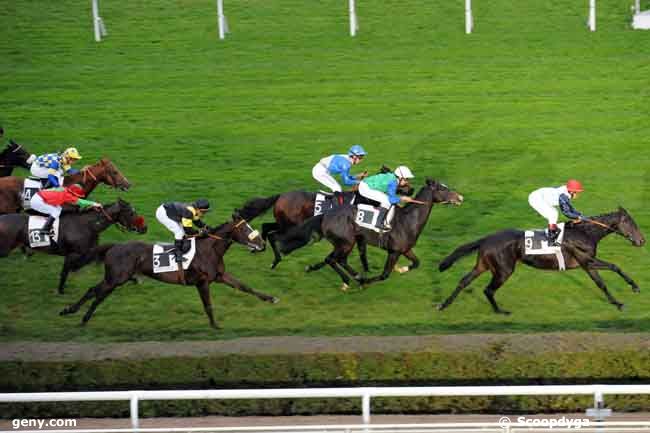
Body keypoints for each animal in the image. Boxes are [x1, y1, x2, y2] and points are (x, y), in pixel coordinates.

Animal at [0, 199, 146, 294]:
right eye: (131, 213)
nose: (144, 228)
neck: (88, 225)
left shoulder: (87, 252)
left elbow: (77, 266)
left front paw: (133, 278)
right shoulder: (73, 254)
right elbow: (67, 270)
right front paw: (60, 290)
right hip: (5, 249)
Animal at [62, 214, 280, 330]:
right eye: (244, 229)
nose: (261, 244)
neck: (210, 249)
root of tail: (114, 246)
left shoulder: (219, 276)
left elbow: (245, 287)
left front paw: (271, 298)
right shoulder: (202, 282)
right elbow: (208, 305)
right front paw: (215, 325)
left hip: (114, 278)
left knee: (95, 292)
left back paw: (75, 313)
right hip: (116, 278)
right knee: (96, 293)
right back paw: (77, 315)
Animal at [276, 179, 464, 290]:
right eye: (442, 189)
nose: (460, 197)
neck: (408, 219)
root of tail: (325, 215)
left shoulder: (405, 249)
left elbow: (417, 263)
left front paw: (402, 269)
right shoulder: (394, 251)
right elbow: (384, 275)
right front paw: (368, 281)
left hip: (344, 243)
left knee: (337, 260)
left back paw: (351, 276)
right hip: (346, 242)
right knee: (332, 259)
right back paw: (352, 280)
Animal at [436, 208, 644, 312]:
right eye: (631, 223)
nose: (642, 240)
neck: (586, 232)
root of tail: (486, 239)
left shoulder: (587, 264)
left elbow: (601, 283)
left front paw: (617, 303)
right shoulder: (586, 260)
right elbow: (615, 266)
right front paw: (634, 287)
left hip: (484, 265)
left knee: (464, 281)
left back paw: (444, 305)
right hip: (504, 270)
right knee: (488, 290)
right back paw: (500, 311)